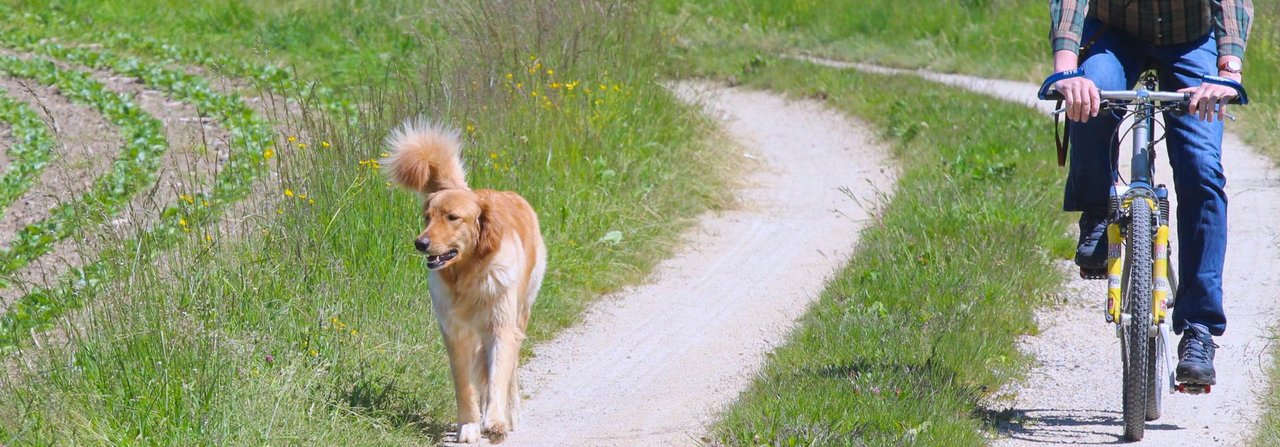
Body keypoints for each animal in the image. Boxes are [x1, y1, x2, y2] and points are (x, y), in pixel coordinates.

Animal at [376, 119, 542, 443]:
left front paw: (495, 421)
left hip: (521, 311)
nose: (420, 243)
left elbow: (499, 375)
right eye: (427, 217)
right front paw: (469, 426)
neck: (469, 275)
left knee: (510, 369)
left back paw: (511, 412)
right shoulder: (455, 333)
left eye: (452, 217)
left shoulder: (501, 327)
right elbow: (465, 386)